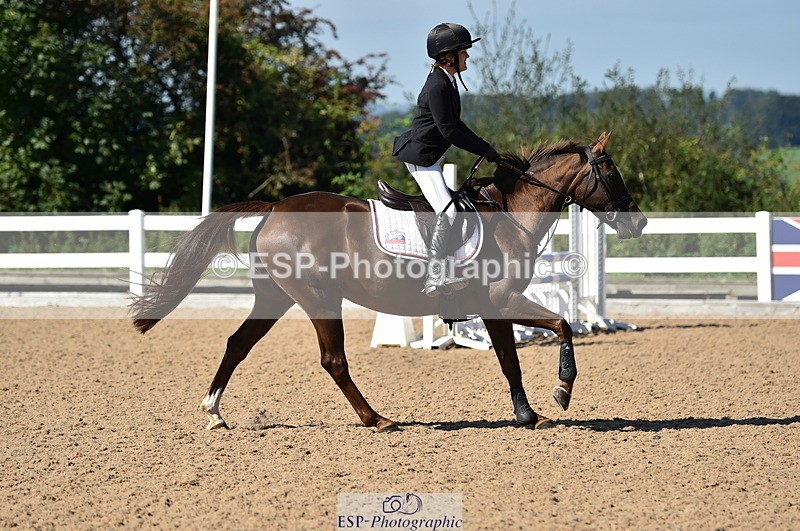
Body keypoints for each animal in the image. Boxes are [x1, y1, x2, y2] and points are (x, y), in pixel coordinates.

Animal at [130, 131, 647, 431]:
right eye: (610, 170)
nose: (639, 222)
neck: (509, 215)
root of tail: (277, 206)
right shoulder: (503, 300)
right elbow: (559, 326)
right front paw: (560, 393)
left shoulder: (494, 308)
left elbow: (510, 361)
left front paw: (527, 414)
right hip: (319, 298)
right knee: (333, 360)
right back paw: (376, 419)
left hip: (276, 296)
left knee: (238, 343)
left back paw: (214, 412)